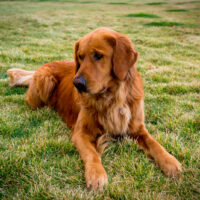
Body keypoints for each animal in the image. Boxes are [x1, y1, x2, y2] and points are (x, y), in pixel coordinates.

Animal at [7, 27, 182, 190]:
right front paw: (96, 175)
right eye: (80, 56)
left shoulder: (137, 128)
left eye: (98, 55)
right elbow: (92, 154)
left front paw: (170, 161)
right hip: (45, 81)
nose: (77, 83)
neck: (112, 98)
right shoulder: (80, 133)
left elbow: (154, 143)